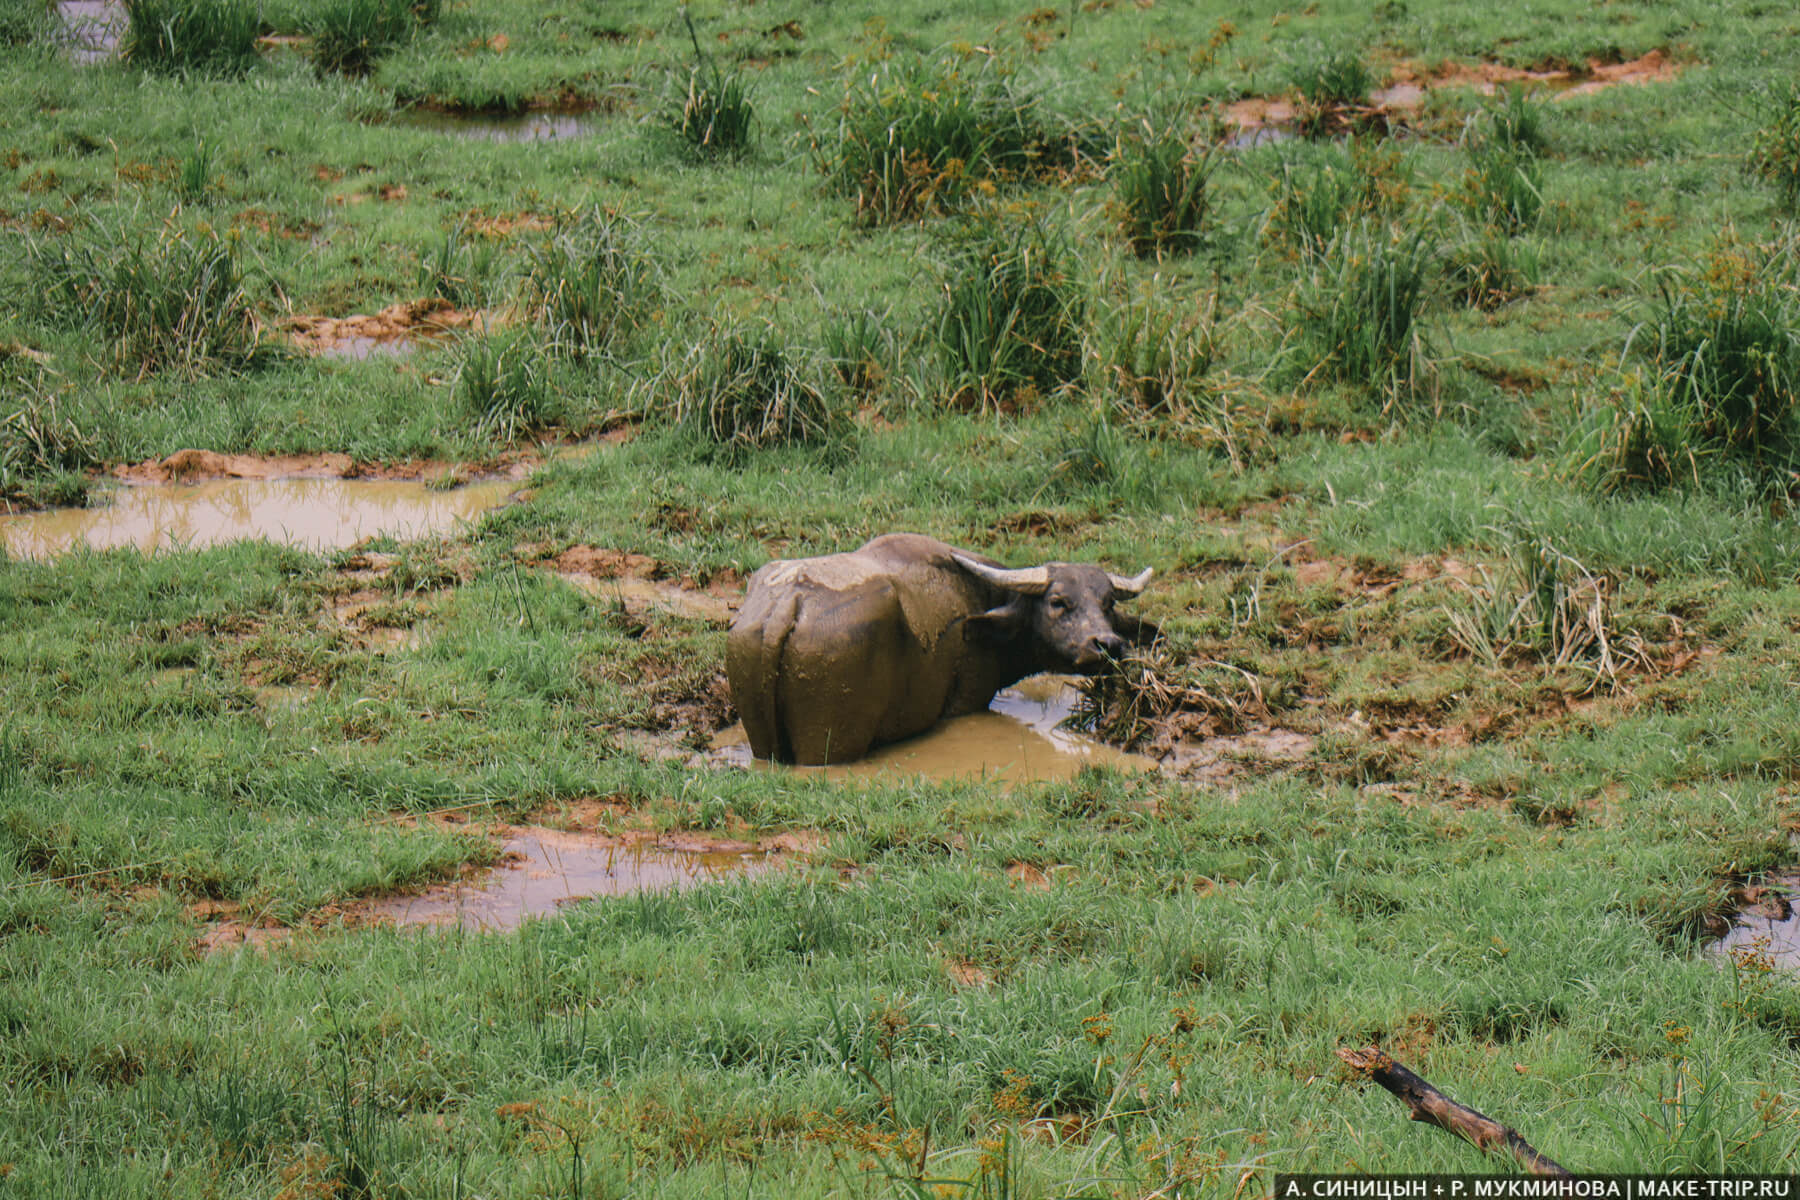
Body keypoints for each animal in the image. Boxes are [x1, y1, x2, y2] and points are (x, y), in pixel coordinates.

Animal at [720, 532, 1152, 766]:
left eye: (1107, 602)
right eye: (1059, 602)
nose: (1108, 644)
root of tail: (789, 603)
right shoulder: (968, 700)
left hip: (761, 732)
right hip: (828, 742)